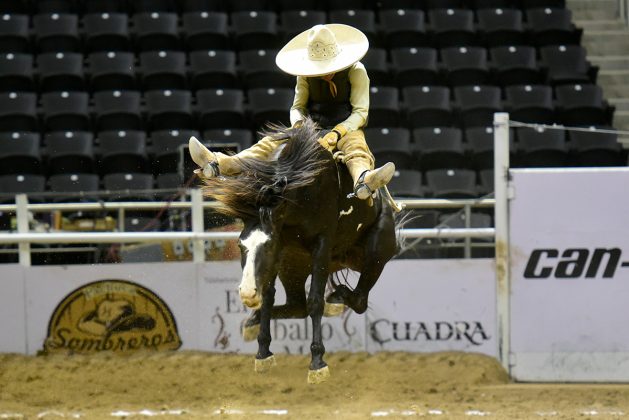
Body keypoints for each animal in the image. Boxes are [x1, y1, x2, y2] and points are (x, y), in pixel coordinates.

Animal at [190, 119, 398, 384]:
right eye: (240, 245)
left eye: (267, 245)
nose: (247, 293)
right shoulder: (281, 248)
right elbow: (269, 297)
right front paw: (263, 353)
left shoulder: (321, 244)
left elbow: (315, 301)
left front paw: (318, 363)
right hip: (293, 268)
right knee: (297, 306)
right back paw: (255, 321)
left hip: (376, 252)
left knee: (358, 300)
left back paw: (337, 297)